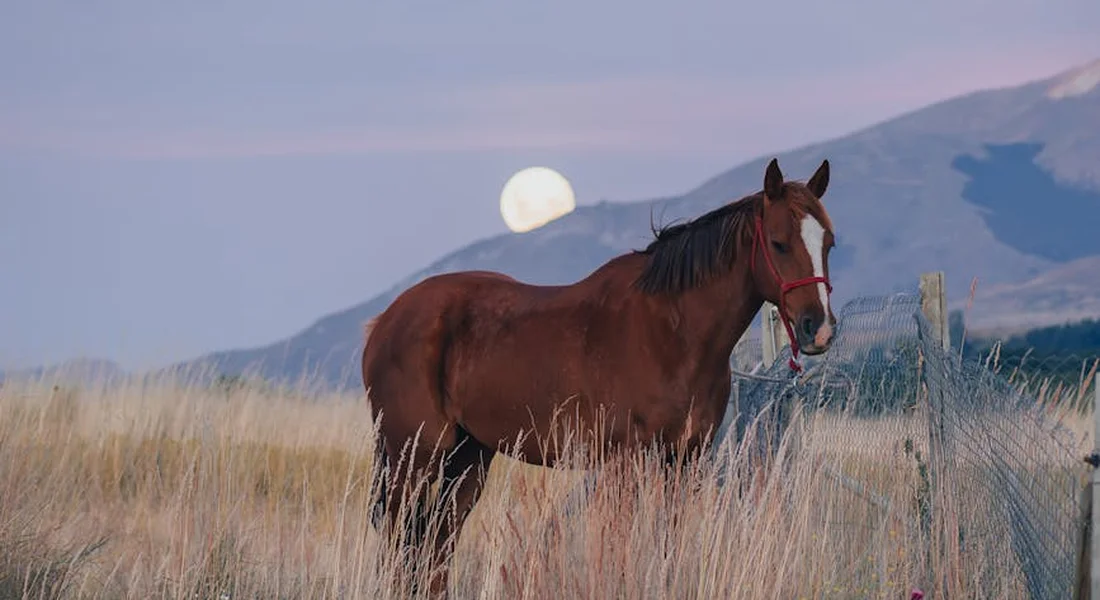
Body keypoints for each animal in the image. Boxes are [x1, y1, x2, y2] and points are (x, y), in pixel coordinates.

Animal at [361, 157, 838, 596]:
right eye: (778, 243)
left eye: (828, 243)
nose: (818, 328)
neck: (672, 333)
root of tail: (386, 320)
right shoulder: (625, 463)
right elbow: (620, 548)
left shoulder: (684, 461)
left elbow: (669, 547)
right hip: (411, 458)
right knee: (401, 543)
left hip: (468, 458)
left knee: (435, 545)